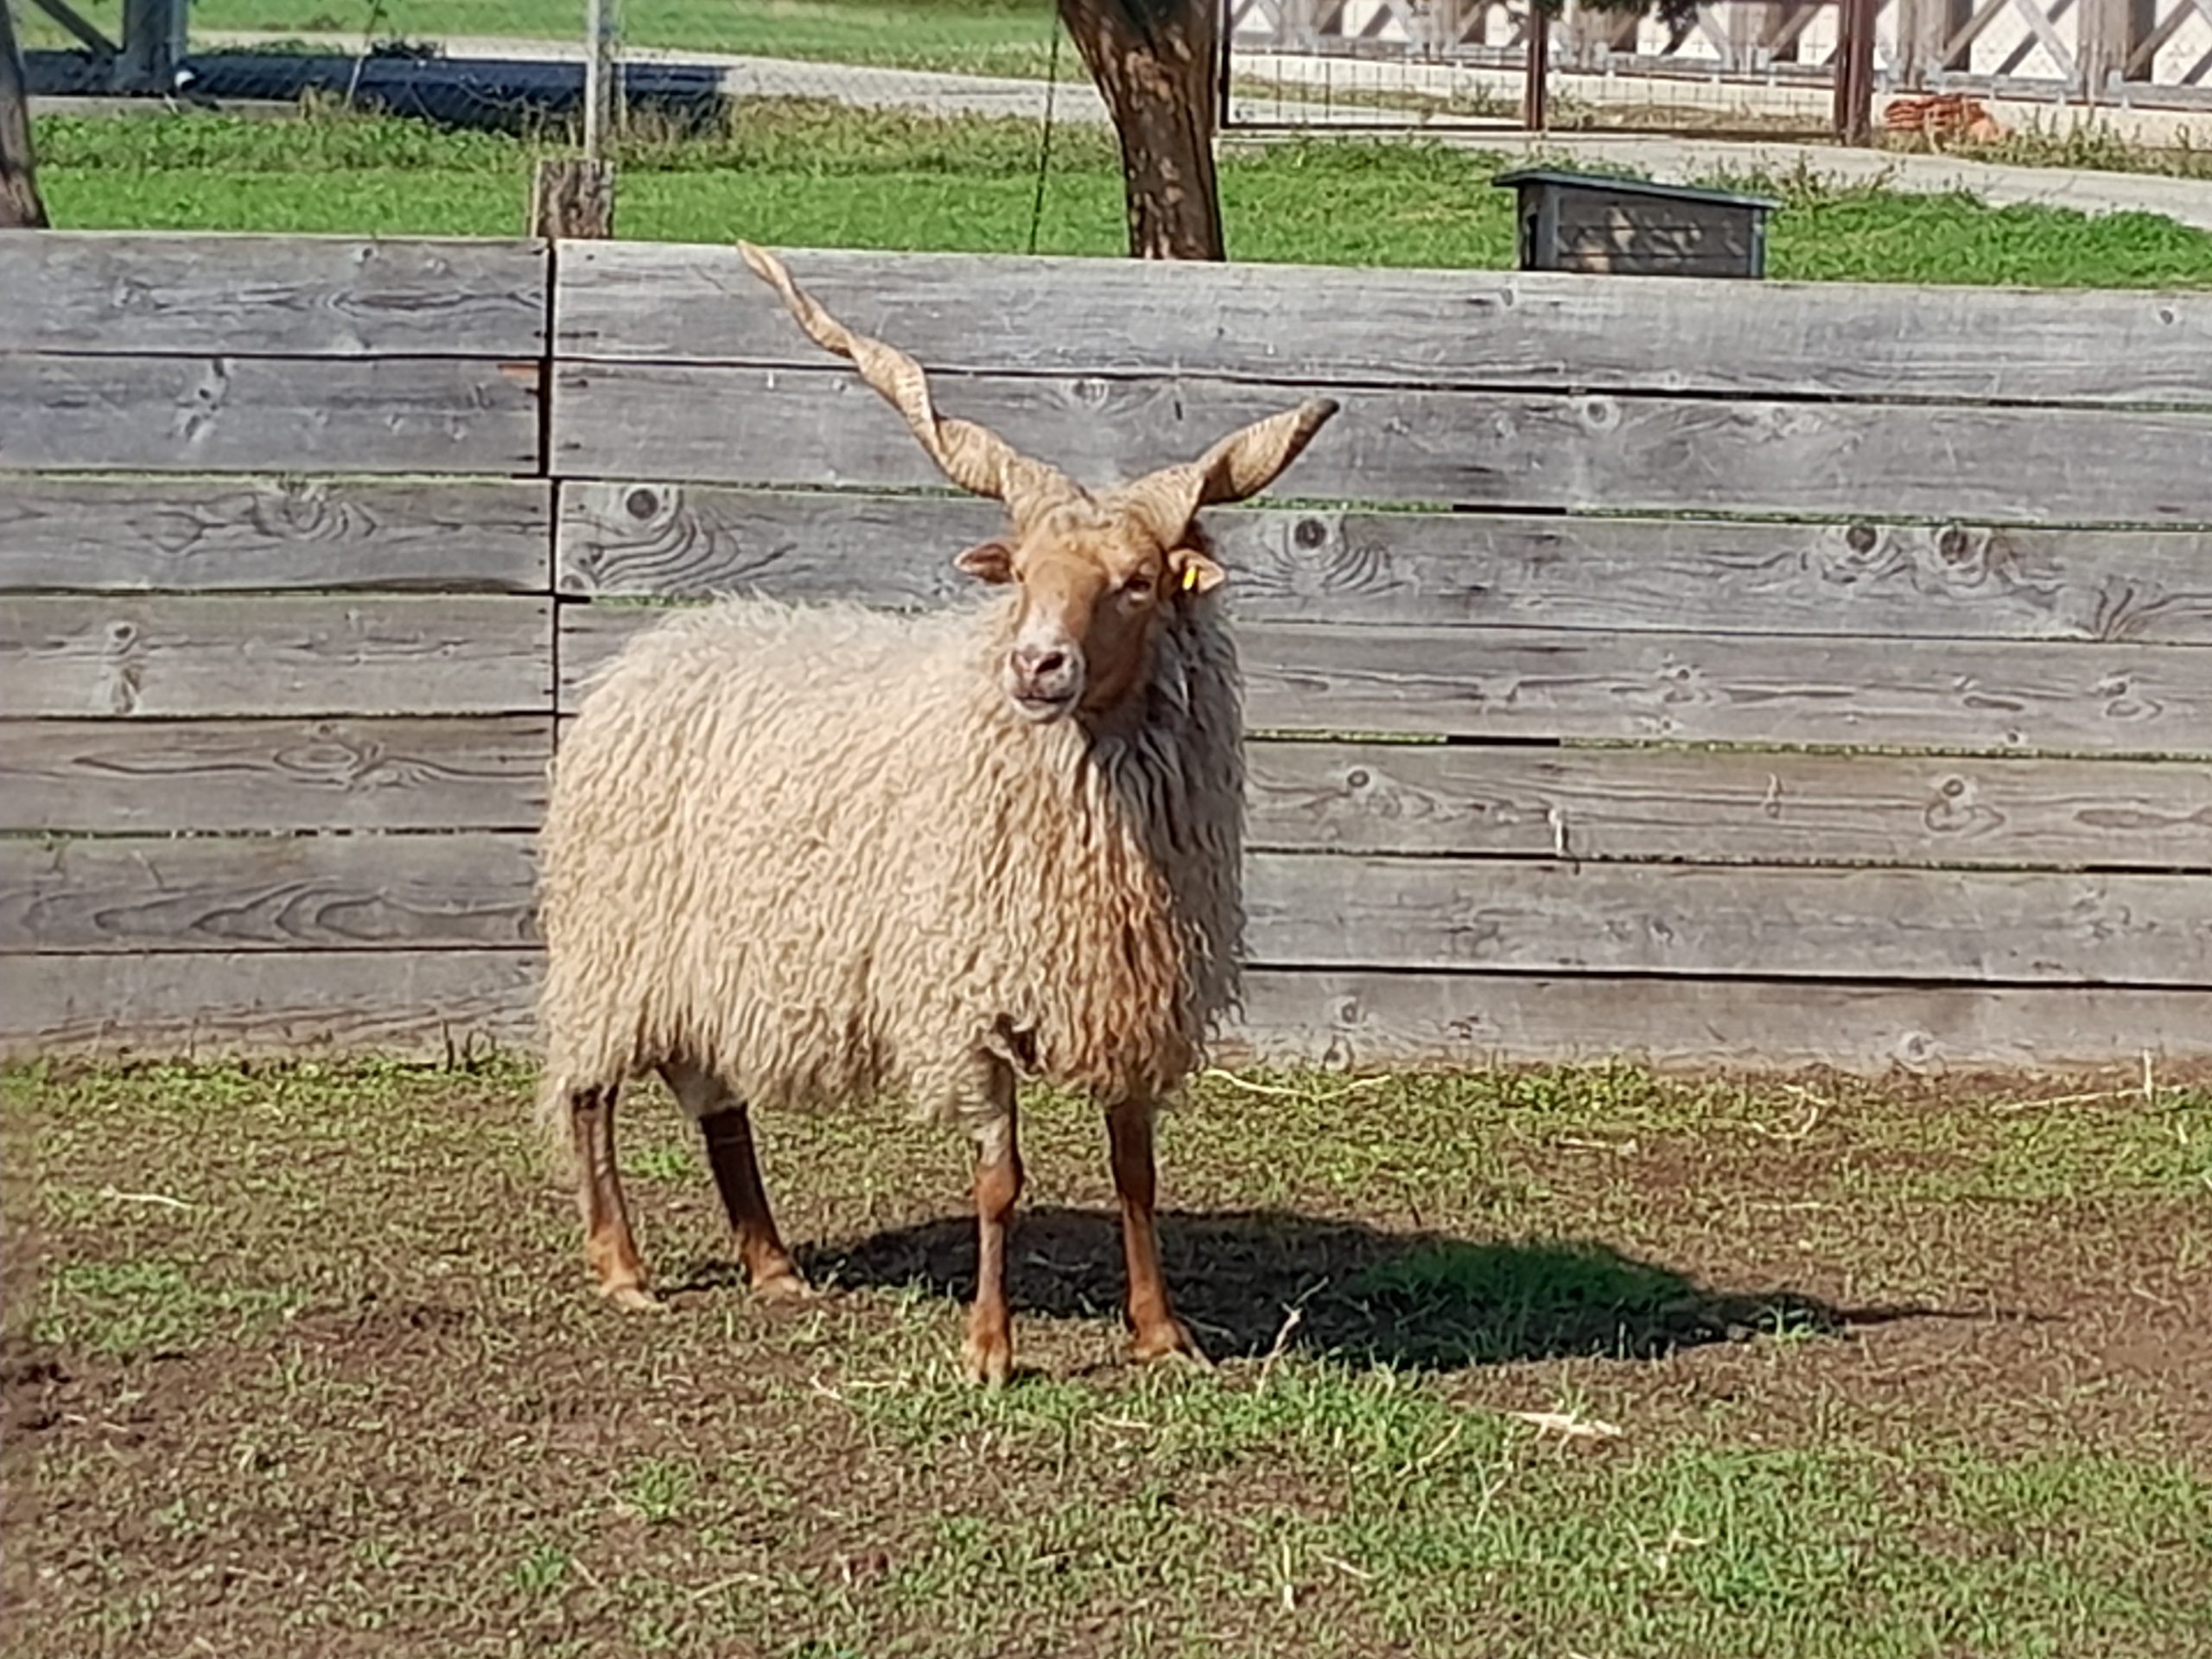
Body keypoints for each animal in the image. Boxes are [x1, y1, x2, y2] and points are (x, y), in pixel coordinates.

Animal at [539, 243, 1327, 1389]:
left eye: (1137, 581)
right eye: (1022, 574)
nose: (1036, 665)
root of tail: (653, 652)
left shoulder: (1123, 992)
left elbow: (1135, 1172)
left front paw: (1160, 1334)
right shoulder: (969, 1000)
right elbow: (999, 1183)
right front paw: (988, 1350)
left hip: (714, 957)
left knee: (716, 1100)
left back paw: (773, 1266)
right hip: (614, 945)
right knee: (591, 1092)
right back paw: (622, 1268)